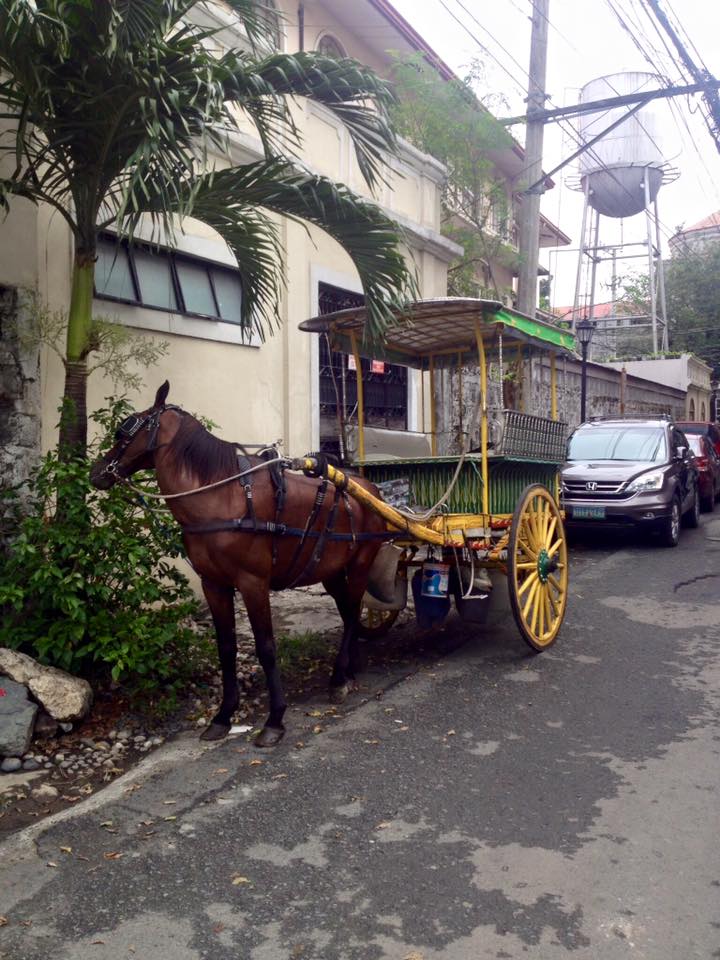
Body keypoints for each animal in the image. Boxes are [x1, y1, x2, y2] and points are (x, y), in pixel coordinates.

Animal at [93, 382, 390, 752]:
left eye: (125, 429)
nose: (96, 472)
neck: (222, 499)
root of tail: (368, 488)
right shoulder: (214, 584)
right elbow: (226, 648)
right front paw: (223, 716)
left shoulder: (253, 583)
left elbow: (266, 647)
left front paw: (274, 720)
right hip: (331, 569)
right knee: (348, 610)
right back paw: (348, 670)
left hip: (361, 562)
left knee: (351, 614)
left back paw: (339, 678)